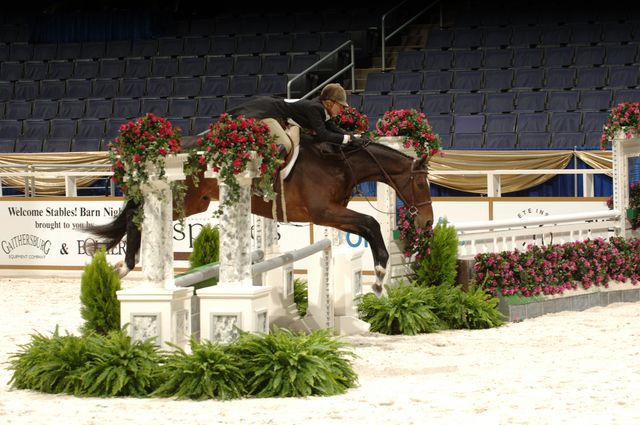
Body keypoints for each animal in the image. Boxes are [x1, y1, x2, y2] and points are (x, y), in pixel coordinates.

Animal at [86, 139, 434, 295]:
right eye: (420, 182)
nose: (427, 222)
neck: (338, 164)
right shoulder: (325, 212)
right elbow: (372, 225)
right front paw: (378, 277)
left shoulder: (332, 215)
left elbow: (368, 228)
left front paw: (379, 277)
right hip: (181, 199)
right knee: (136, 214)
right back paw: (124, 265)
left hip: (194, 203)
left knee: (137, 214)